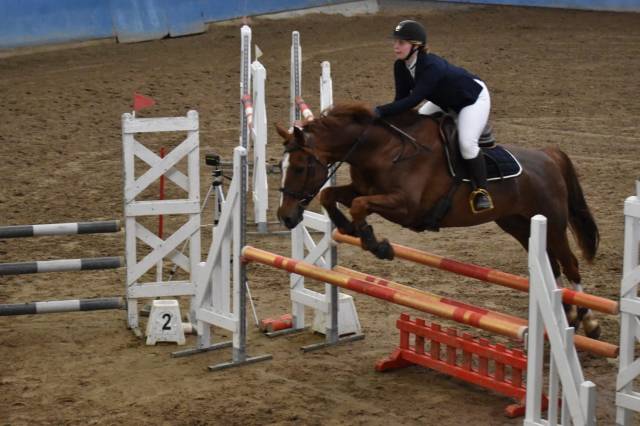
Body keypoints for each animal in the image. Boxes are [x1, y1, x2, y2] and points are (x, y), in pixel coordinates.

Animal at [275, 103, 601, 338]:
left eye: (301, 167)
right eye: (281, 165)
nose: (286, 216)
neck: (381, 150)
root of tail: (549, 156)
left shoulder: (406, 207)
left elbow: (358, 205)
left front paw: (376, 243)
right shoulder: (363, 188)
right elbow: (330, 194)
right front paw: (347, 228)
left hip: (553, 223)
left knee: (570, 264)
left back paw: (588, 322)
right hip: (518, 224)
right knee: (552, 266)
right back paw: (568, 316)